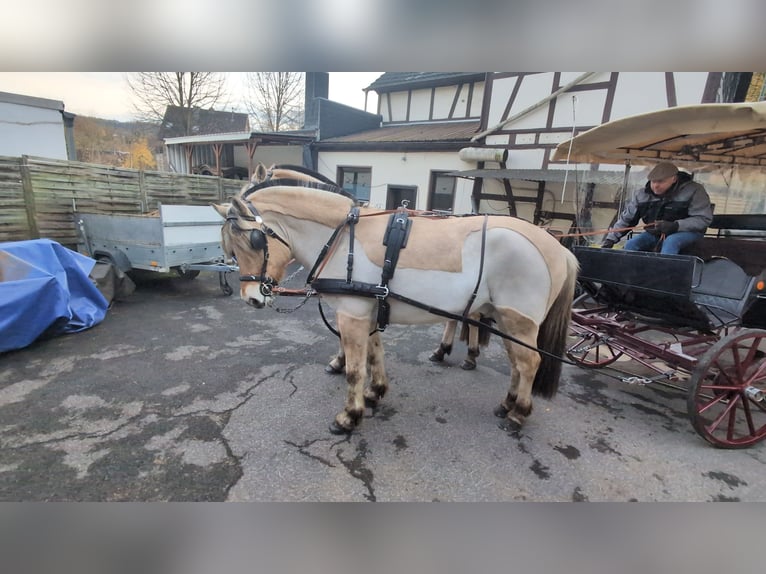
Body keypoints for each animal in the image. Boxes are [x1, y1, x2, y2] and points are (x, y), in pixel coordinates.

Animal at [216, 176, 584, 436]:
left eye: (254, 240)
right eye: (231, 248)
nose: (252, 297)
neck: (342, 239)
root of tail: (557, 246)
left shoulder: (351, 315)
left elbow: (355, 369)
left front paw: (349, 417)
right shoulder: (369, 311)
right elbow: (375, 355)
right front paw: (375, 392)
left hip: (518, 321)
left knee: (530, 362)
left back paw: (518, 414)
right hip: (506, 321)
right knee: (517, 364)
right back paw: (507, 404)